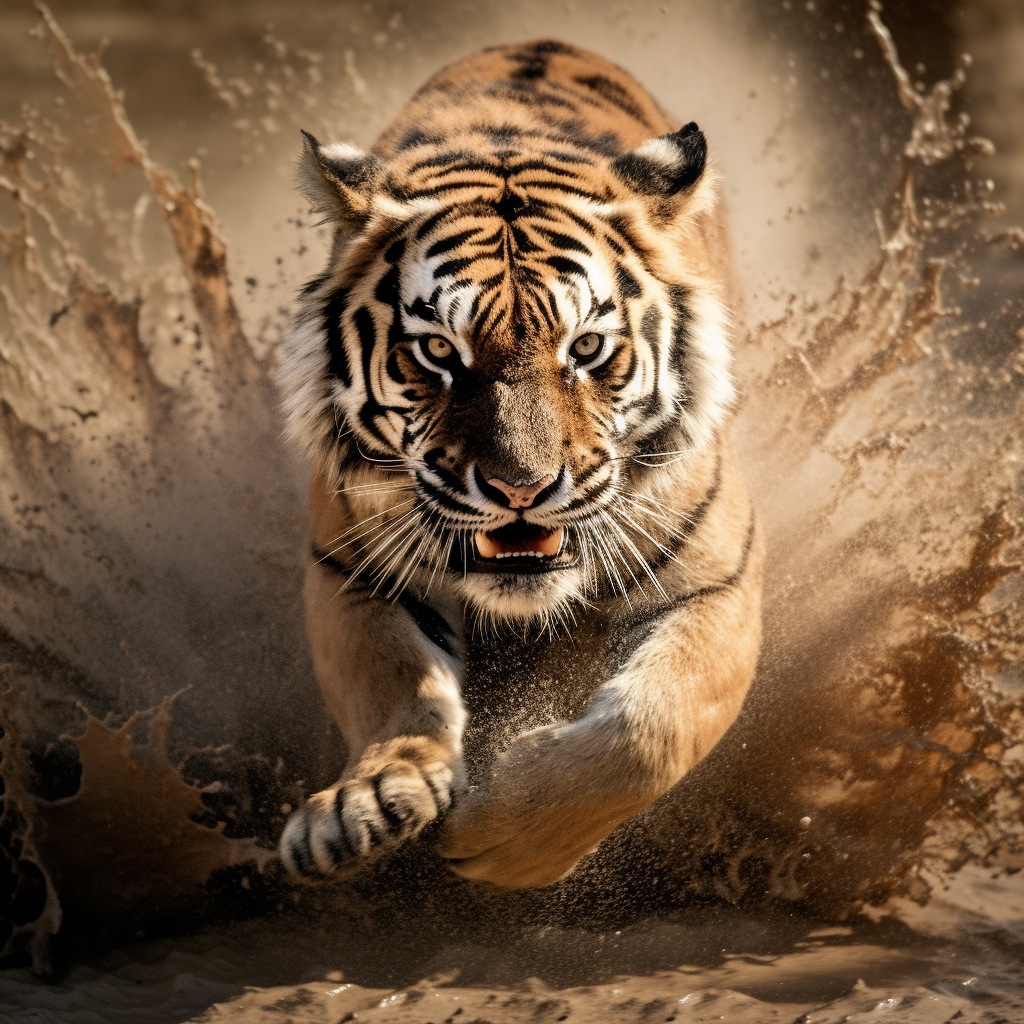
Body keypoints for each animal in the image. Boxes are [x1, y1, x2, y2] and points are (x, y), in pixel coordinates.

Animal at [276, 39, 763, 889]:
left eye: (588, 347)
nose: (521, 489)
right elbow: (397, 684)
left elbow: (651, 726)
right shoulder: (353, 569)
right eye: (438, 351)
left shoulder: (716, 578)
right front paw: (368, 803)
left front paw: (503, 835)